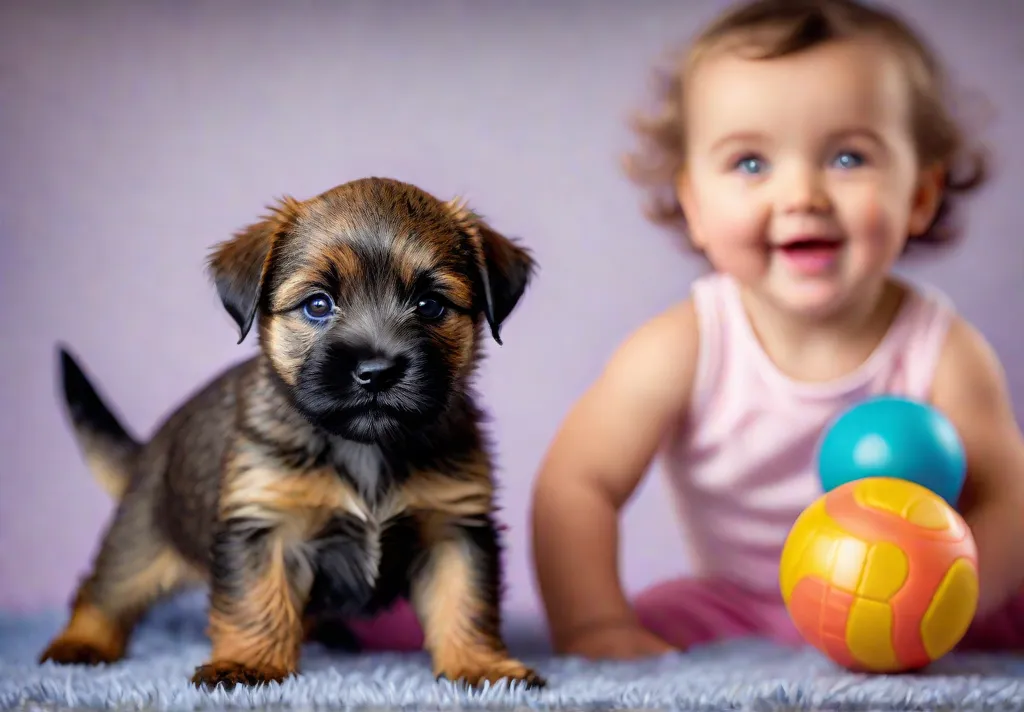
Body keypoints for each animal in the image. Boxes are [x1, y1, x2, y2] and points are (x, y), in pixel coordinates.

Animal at [37, 174, 544, 692]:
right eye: (318, 304)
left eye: (430, 305)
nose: (376, 372)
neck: (364, 448)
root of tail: (148, 451)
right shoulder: (266, 525)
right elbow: (257, 603)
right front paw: (249, 663)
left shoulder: (455, 529)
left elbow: (466, 602)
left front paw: (480, 667)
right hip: (140, 539)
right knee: (103, 591)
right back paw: (82, 643)